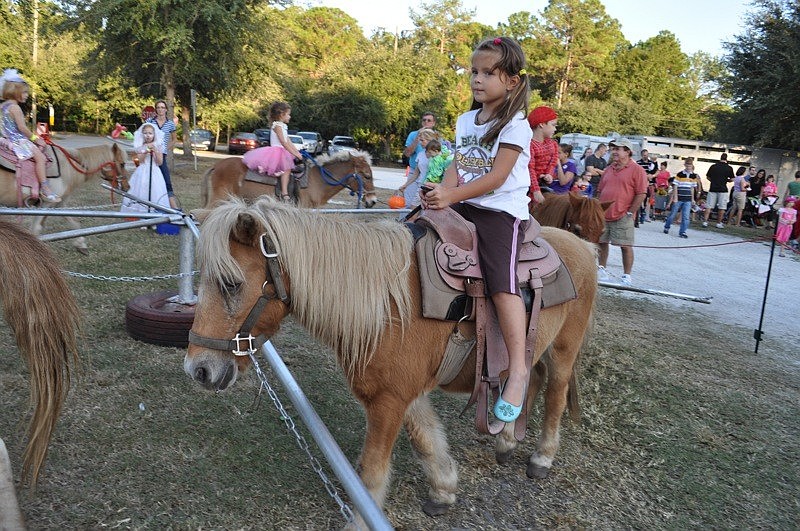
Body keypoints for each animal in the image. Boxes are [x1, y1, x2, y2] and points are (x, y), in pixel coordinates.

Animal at [0, 141, 130, 254]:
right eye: (122, 164)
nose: (127, 187)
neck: (66, 168)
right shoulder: (46, 205)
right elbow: (36, 230)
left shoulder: (58, 205)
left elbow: (74, 223)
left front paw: (81, 244)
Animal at [185, 197, 597, 524]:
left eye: (231, 283)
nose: (198, 369)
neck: (386, 305)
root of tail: (580, 244)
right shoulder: (403, 395)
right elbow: (427, 439)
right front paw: (443, 490)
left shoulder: (388, 402)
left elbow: (370, 475)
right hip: (534, 351)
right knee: (530, 378)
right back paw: (508, 440)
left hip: (564, 351)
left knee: (556, 395)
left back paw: (541, 457)